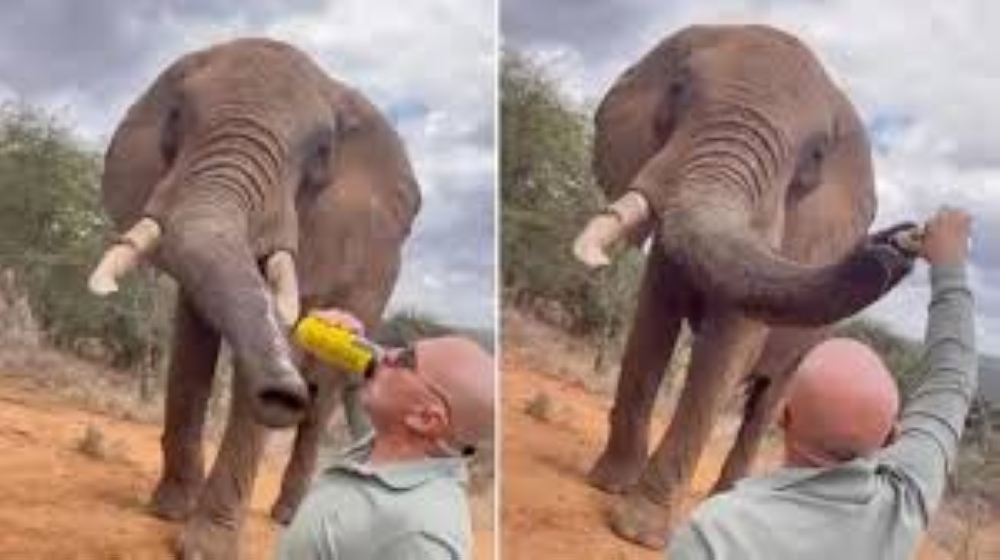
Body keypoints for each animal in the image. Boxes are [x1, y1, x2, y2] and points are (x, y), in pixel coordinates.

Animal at [87, 38, 420, 558]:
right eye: (176, 115)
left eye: (322, 152)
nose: (283, 394)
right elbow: (191, 351)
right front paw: (167, 512)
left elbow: (285, 327)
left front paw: (205, 547)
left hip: (375, 290)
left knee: (322, 399)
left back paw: (287, 515)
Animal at [572, 25, 917, 549]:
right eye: (677, 90)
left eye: (816, 155)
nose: (900, 241)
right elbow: (652, 323)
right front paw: (606, 485)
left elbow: (727, 348)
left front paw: (638, 532)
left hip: (810, 346)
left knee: (767, 403)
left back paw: (732, 496)